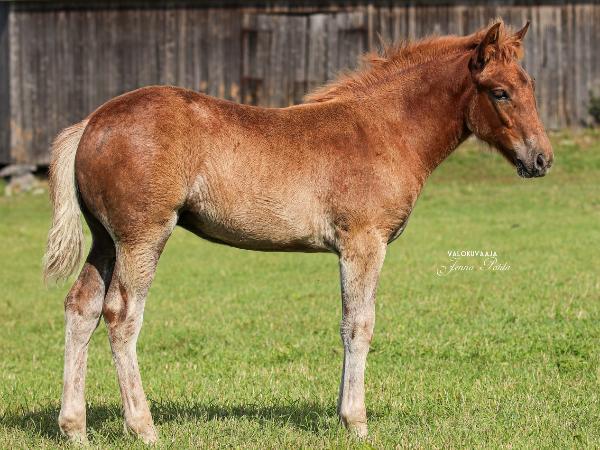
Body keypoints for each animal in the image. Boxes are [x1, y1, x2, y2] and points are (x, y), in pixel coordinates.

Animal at [43, 20, 553, 443]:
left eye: (530, 86)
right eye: (500, 92)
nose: (542, 159)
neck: (384, 129)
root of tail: (91, 122)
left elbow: (347, 323)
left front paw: (343, 415)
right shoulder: (363, 243)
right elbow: (359, 324)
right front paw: (356, 422)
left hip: (106, 241)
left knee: (81, 308)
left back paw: (74, 427)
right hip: (142, 237)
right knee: (121, 315)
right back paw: (142, 426)